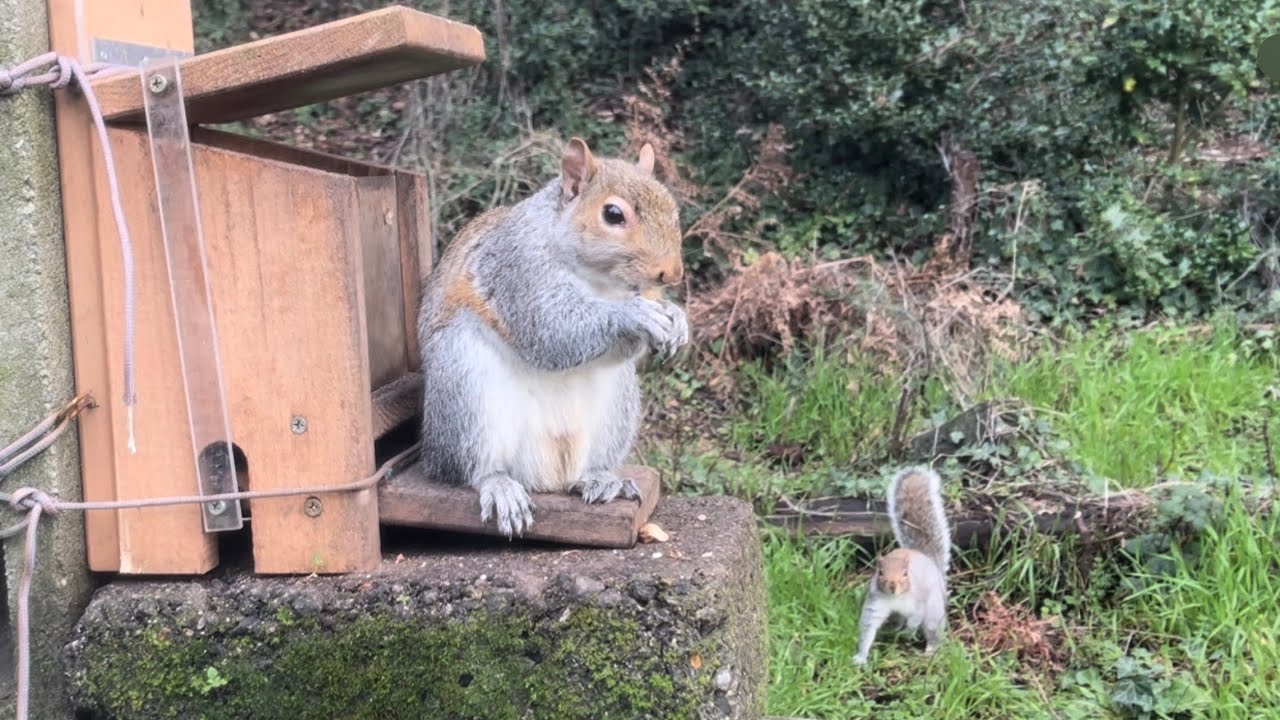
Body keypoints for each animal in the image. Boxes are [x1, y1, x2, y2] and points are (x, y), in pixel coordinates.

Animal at [415, 137, 689, 538]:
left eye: (673, 210)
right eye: (613, 214)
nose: (671, 274)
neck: (600, 281)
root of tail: (546, 477)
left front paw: (677, 318)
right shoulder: (517, 269)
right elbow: (551, 330)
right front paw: (634, 315)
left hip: (616, 407)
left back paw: (600, 479)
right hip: (464, 387)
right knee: (474, 467)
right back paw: (500, 486)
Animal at [852, 465, 952, 666]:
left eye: (906, 574)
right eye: (880, 572)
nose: (892, 585)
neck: (895, 598)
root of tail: (928, 559)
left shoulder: (918, 600)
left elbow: (917, 616)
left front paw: (909, 631)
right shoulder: (877, 601)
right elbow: (868, 626)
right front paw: (861, 657)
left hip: (934, 610)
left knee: (932, 630)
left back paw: (929, 650)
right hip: (895, 614)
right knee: (896, 620)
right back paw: (893, 630)